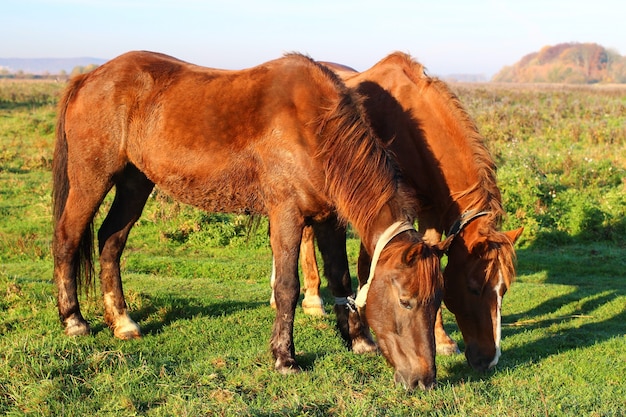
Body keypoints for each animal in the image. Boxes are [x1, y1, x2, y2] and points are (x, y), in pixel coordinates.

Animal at [53, 50, 448, 388]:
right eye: (406, 301)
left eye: (437, 302)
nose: (424, 380)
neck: (314, 128)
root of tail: (89, 78)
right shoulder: (287, 214)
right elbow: (287, 287)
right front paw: (285, 358)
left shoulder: (329, 219)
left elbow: (341, 279)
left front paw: (357, 340)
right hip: (92, 179)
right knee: (67, 238)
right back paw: (74, 320)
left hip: (135, 182)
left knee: (111, 241)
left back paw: (122, 321)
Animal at [268, 51, 520, 370]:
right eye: (474, 287)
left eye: (504, 289)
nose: (489, 359)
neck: (411, 130)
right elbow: (368, 267)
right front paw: (365, 327)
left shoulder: (430, 211)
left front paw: (442, 340)